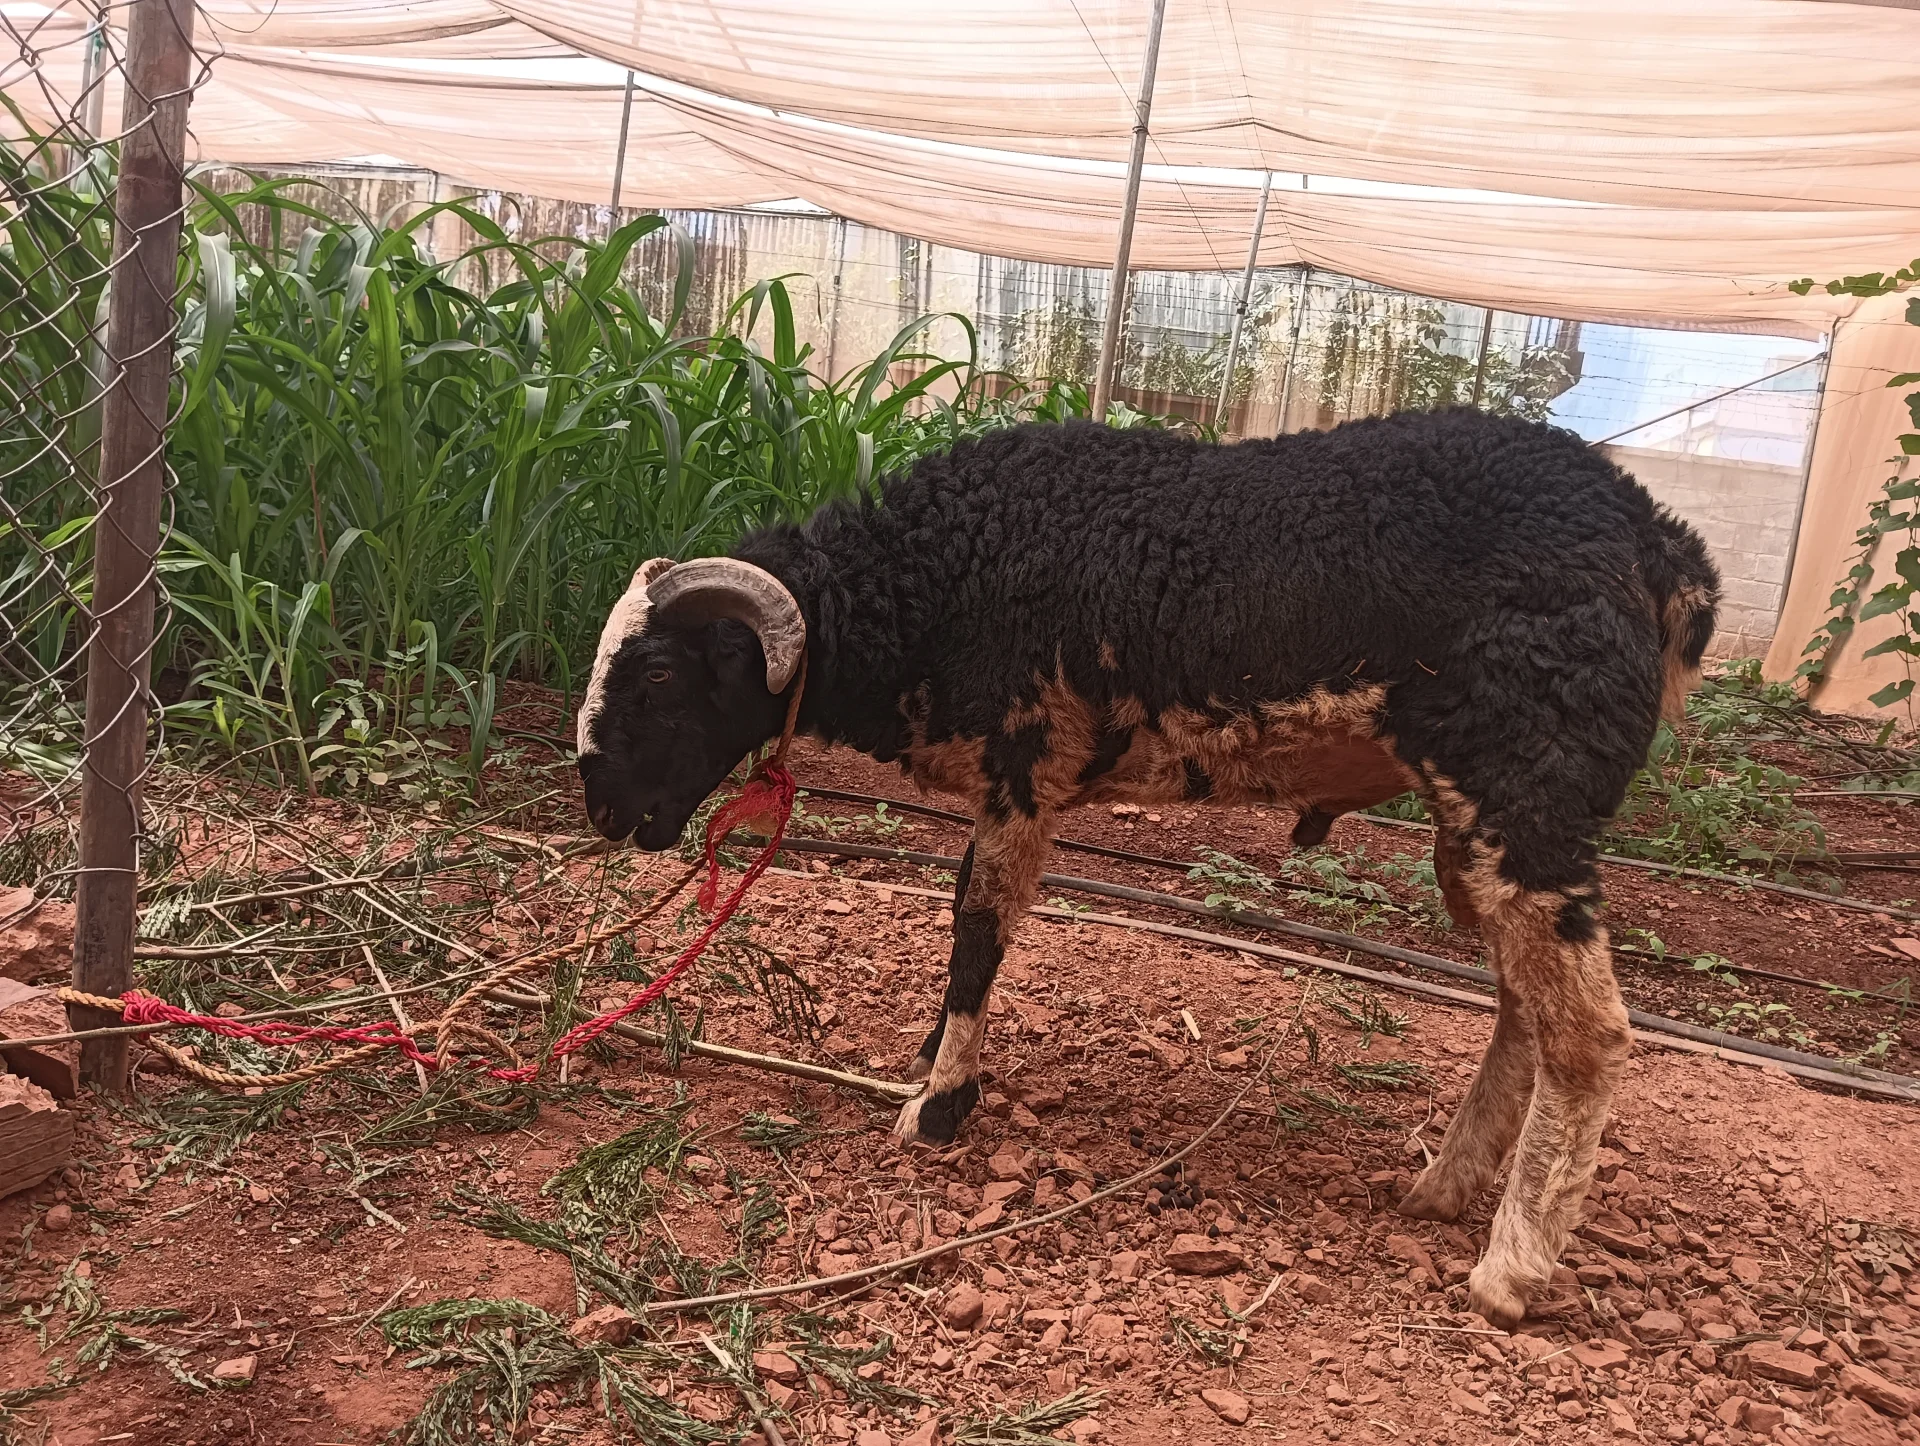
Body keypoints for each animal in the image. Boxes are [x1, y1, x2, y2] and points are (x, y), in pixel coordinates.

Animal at [575, 408, 1719, 1328]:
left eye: (664, 676)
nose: (603, 808)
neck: (937, 578)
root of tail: (1662, 549)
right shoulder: (1014, 782)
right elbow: (966, 924)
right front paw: (933, 1065)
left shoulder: (1026, 761)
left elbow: (976, 934)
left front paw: (938, 1108)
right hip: (1478, 818)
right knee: (1525, 1008)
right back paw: (1443, 1187)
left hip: (1527, 784)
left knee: (1587, 1031)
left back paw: (1510, 1269)